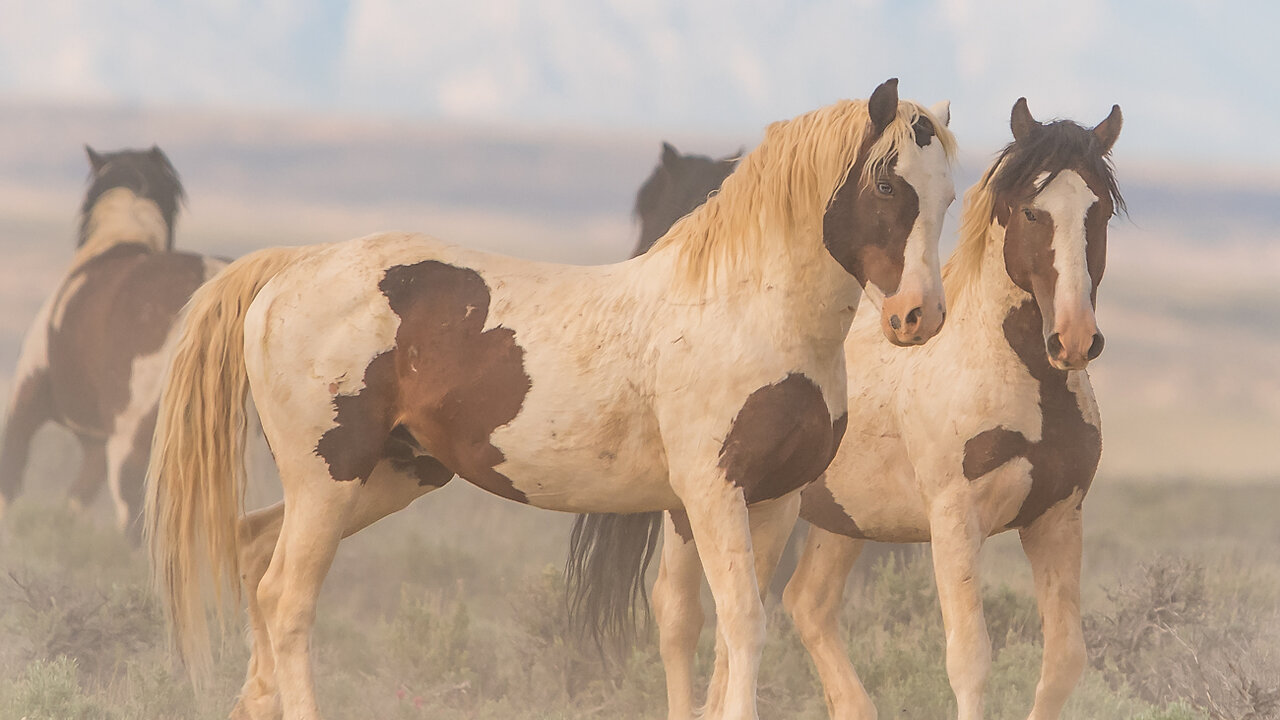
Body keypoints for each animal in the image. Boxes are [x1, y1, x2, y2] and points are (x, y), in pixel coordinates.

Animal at [145, 78, 957, 717]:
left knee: (254, 556)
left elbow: (699, 628)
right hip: (329, 481)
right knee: (287, 598)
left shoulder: (763, 501)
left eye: (950, 194)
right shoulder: (714, 493)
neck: (743, 309)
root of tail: (290, 266)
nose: (918, 317)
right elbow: (741, 624)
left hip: (386, 477)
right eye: (888, 185)